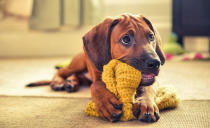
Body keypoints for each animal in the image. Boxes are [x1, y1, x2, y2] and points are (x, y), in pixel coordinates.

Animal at [27, 14, 166, 123]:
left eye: (151, 36)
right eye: (126, 39)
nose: (155, 63)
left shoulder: (153, 80)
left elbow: (148, 87)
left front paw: (146, 104)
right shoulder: (96, 75)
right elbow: (96, 85)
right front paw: (106, 103)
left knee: (77, 76)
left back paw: (71, 82)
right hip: (79, 63)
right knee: (62, 70)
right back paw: (59, 82)